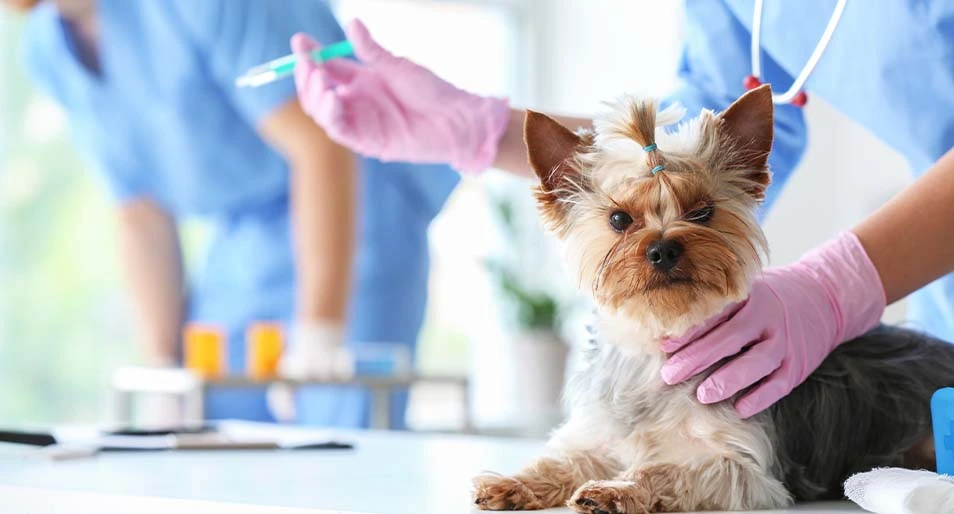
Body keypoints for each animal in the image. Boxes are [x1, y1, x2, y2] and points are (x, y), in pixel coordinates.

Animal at [472, 86, 952, 510]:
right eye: (618, 219)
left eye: (702, 212)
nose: (663, 249)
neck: (656, 346)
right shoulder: (599, 435)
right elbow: (564, 458)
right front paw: (513, 482)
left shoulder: (742, 467)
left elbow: (665, 469)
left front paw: (617, 490)